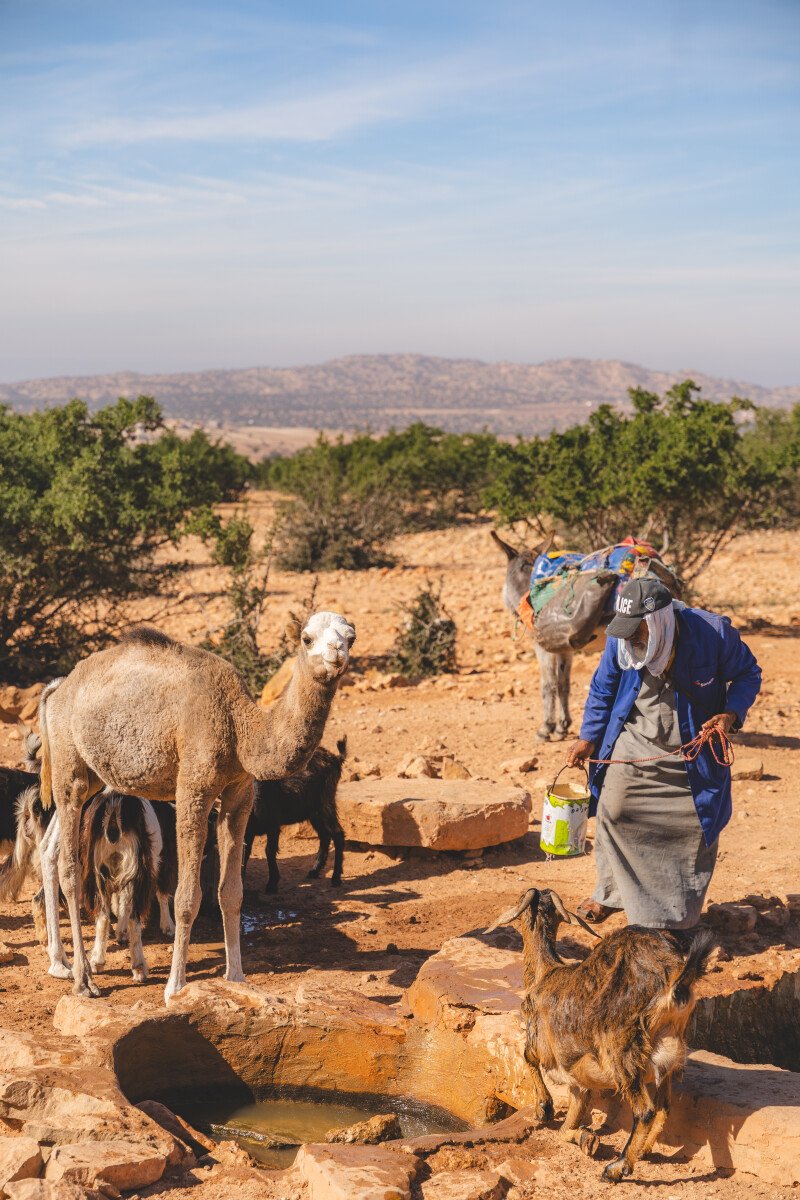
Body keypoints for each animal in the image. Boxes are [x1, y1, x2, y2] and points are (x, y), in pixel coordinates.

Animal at [244, 734, 345, 897]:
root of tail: (335, 758)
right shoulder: (247, 830)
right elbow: (244, 853)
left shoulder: (273, 825)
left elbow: (269, 851)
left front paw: (272, 884)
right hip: (314, 812)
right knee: (325, 835)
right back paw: (314, 870)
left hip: (326, 803)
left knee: (338, 835)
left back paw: (336, 878)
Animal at [489, 892, 719, 1180]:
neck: (545, 973)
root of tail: (674, 979)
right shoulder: (579, 1081)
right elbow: (568, 1125)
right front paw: (586, 1139)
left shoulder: (539, 1041)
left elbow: (528, 1058)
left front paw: (544, 1108)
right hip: (670, 1054)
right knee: (664, 1106)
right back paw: (642, 1150)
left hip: (622, 1051)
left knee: (645, 1110)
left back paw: (618, 1167)